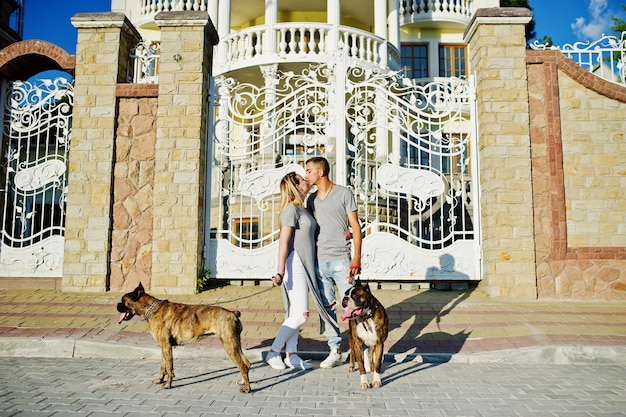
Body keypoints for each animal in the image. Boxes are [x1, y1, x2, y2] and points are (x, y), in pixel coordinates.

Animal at [116, 282, 250, 392]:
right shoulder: (163, 347)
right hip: (235, 345)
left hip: (229, 345)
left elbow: (169, 368)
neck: (151, 308)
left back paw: (247, 388)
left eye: (123, 300)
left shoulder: (166, 347)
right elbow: (163, 366)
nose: (117, 305)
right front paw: (160, 379)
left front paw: (168, 385)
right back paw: (243, 382)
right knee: (247, 364)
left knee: (242, 366)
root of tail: (232, 313)